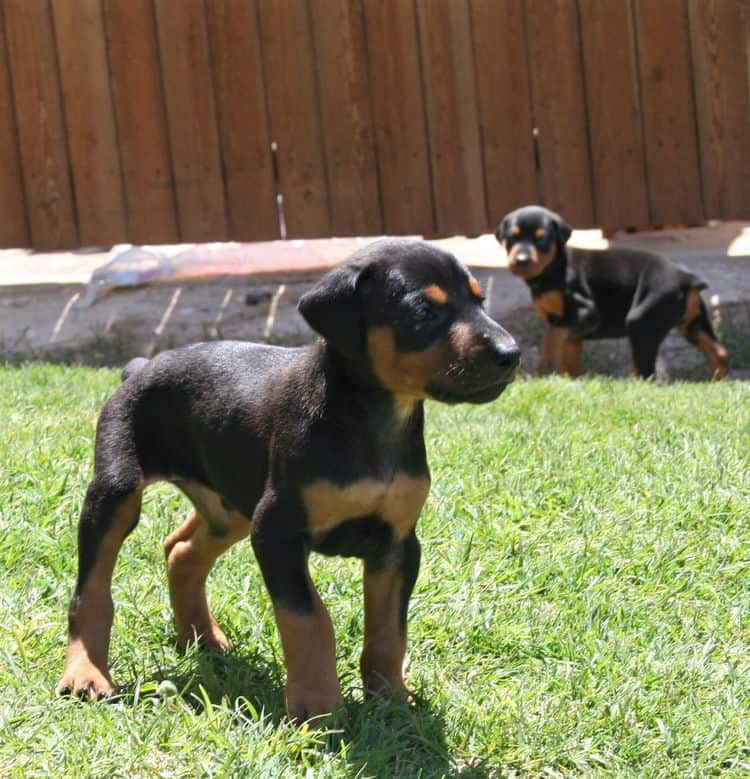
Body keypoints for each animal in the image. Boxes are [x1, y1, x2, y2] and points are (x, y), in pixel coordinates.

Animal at [55, 241, 524, 724]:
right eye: (422, 311)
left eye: (479, 301)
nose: (512, 353)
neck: (373, 418)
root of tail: (140, 366)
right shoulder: (277, 532)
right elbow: (310, 619)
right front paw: (317, 706)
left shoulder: (398, 545)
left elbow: (389, 631)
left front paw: (393, 699)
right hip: (116, 492)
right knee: (91, 591)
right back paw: (87, 673)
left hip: (230, 507)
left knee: (182, 551)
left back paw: (202, 638)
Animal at [496, 206, 732, 380]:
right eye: (511, 238)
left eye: (541, 239)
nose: (521, 260)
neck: (554, 269)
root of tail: (684, 276)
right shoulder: (574, 328)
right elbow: (569, 354)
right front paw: (568, 380)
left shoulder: (585, 312)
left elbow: (551, 335)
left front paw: (546, 366)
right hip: (692, 322)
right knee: (719, 351)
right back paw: (718, 381)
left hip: (642, 321)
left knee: (647, 370)